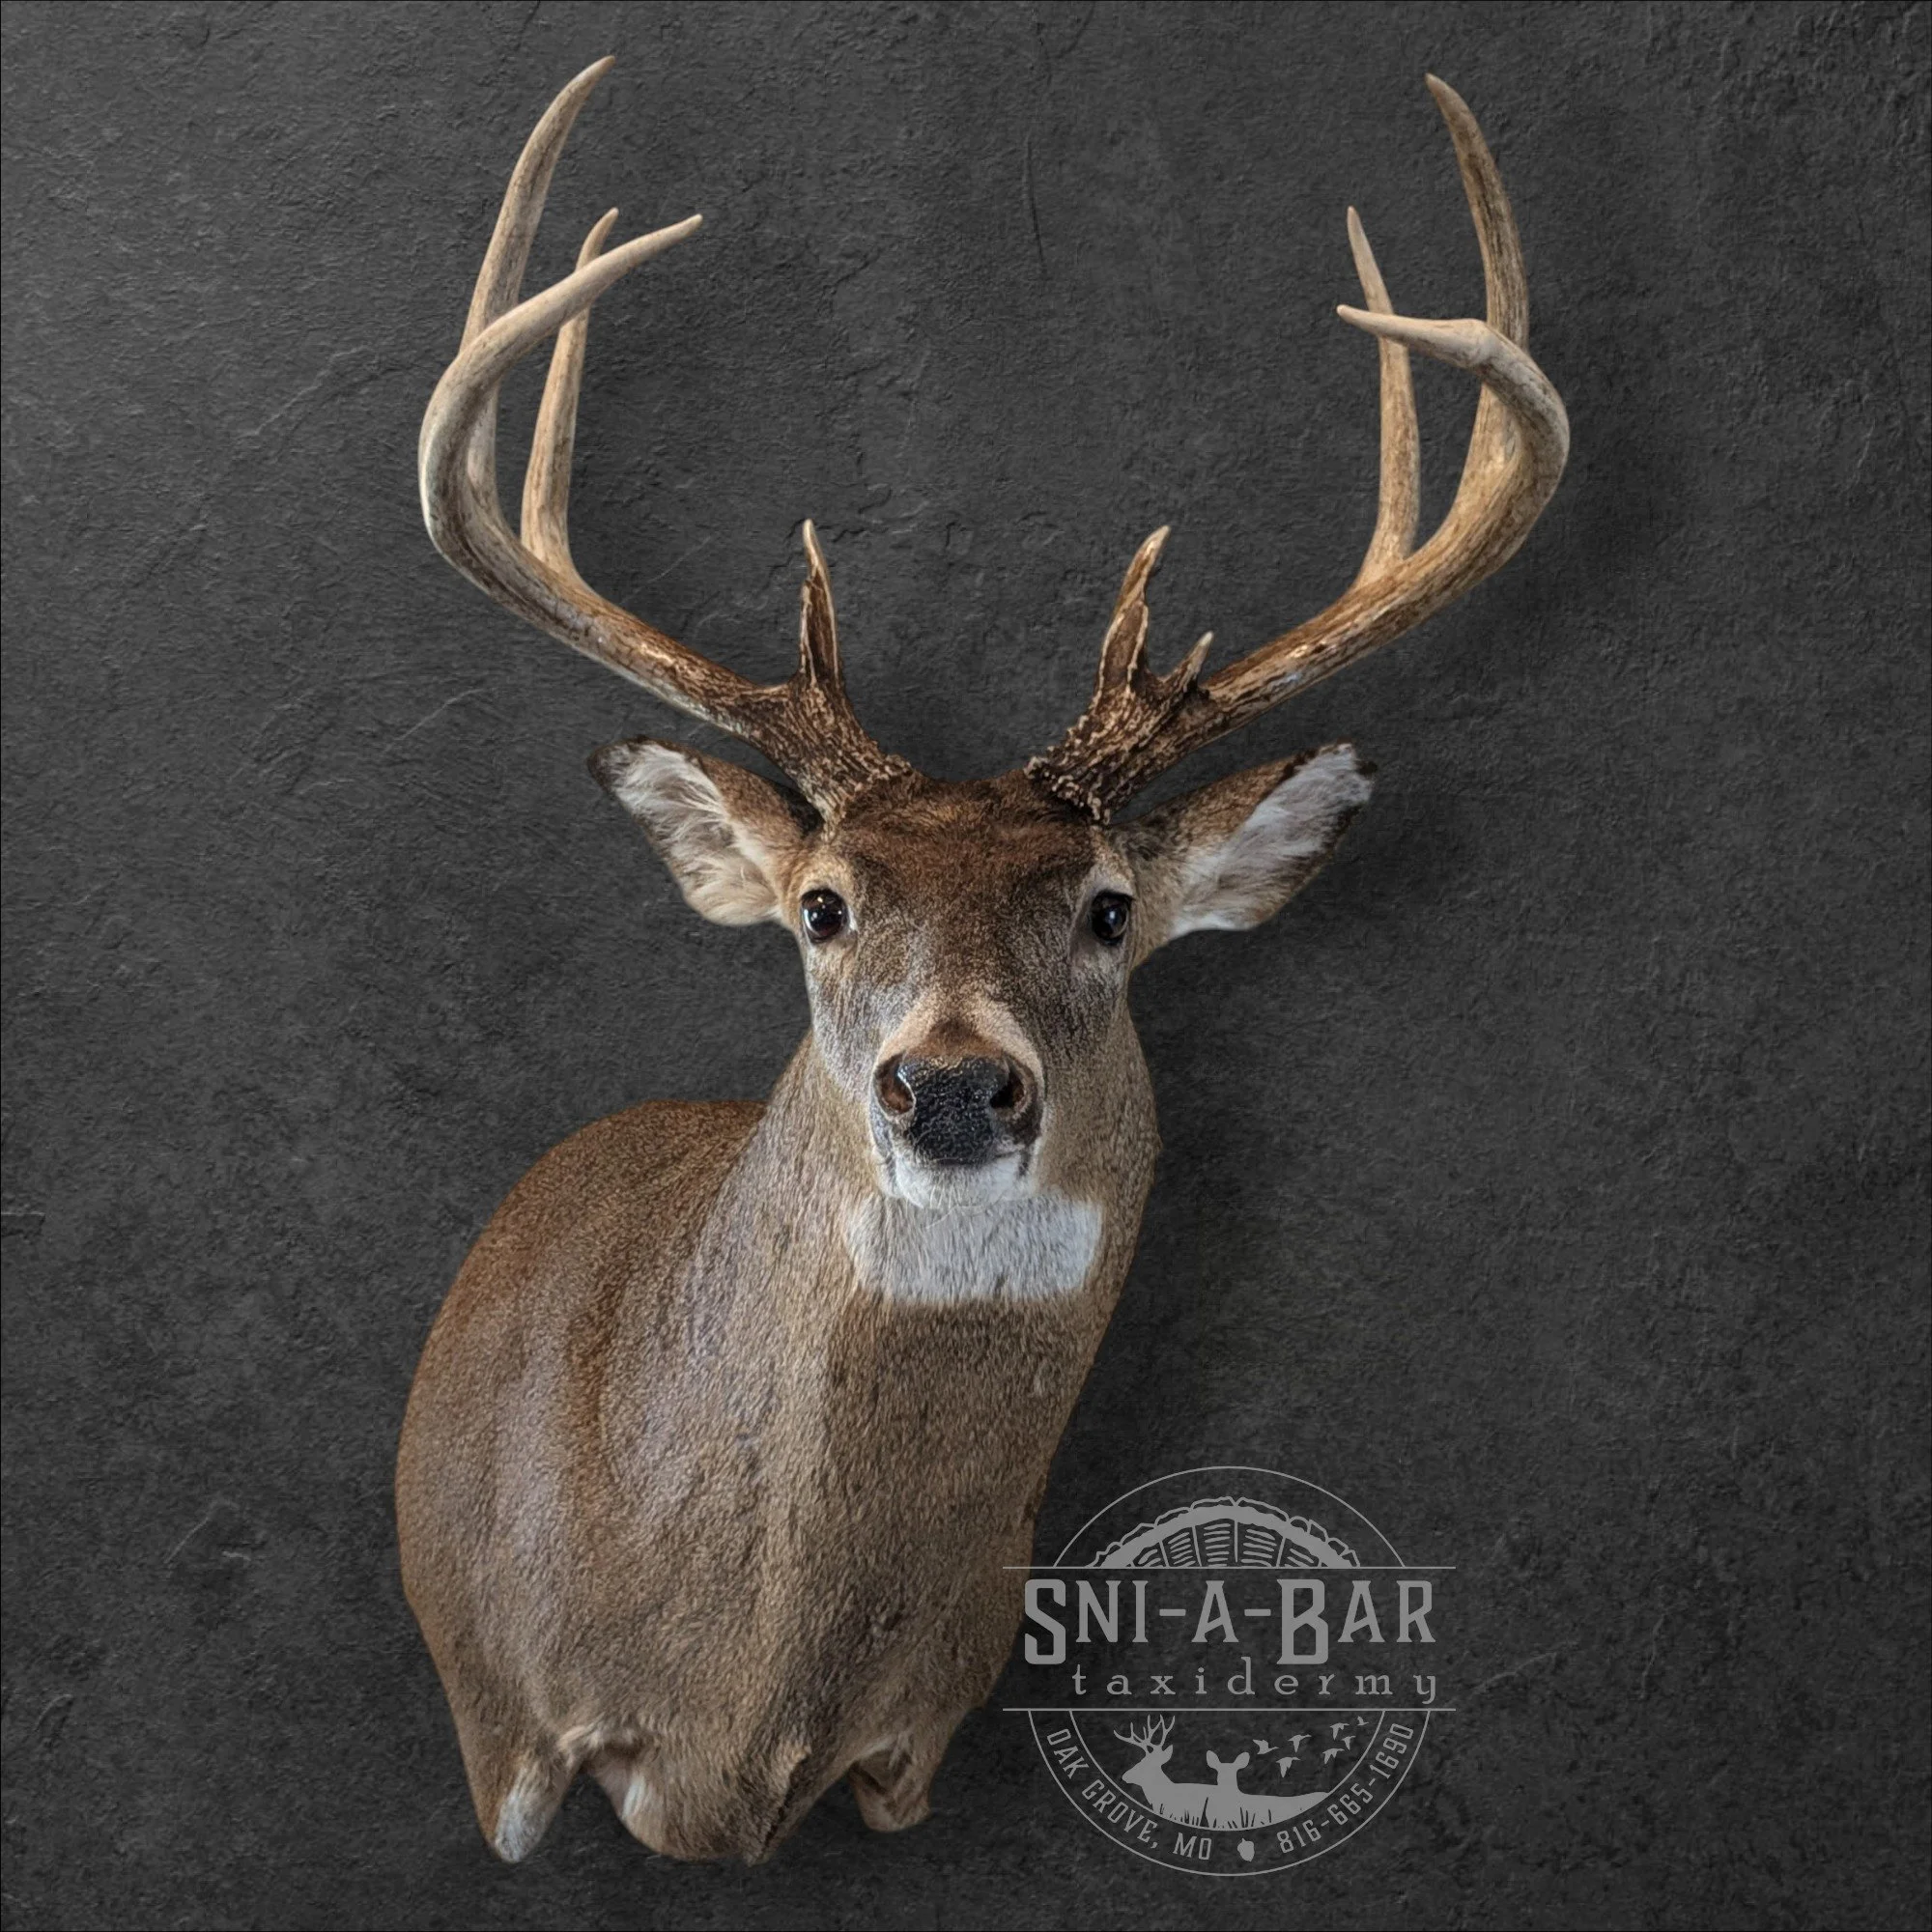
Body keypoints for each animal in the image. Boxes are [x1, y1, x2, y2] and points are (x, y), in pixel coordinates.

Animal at [395, 57, 1567, 1867]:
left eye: (1108, 908)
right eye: (821, 906)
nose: (950, 1083)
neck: (738, 1703)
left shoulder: (923, 1732)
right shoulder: (504, 1715)